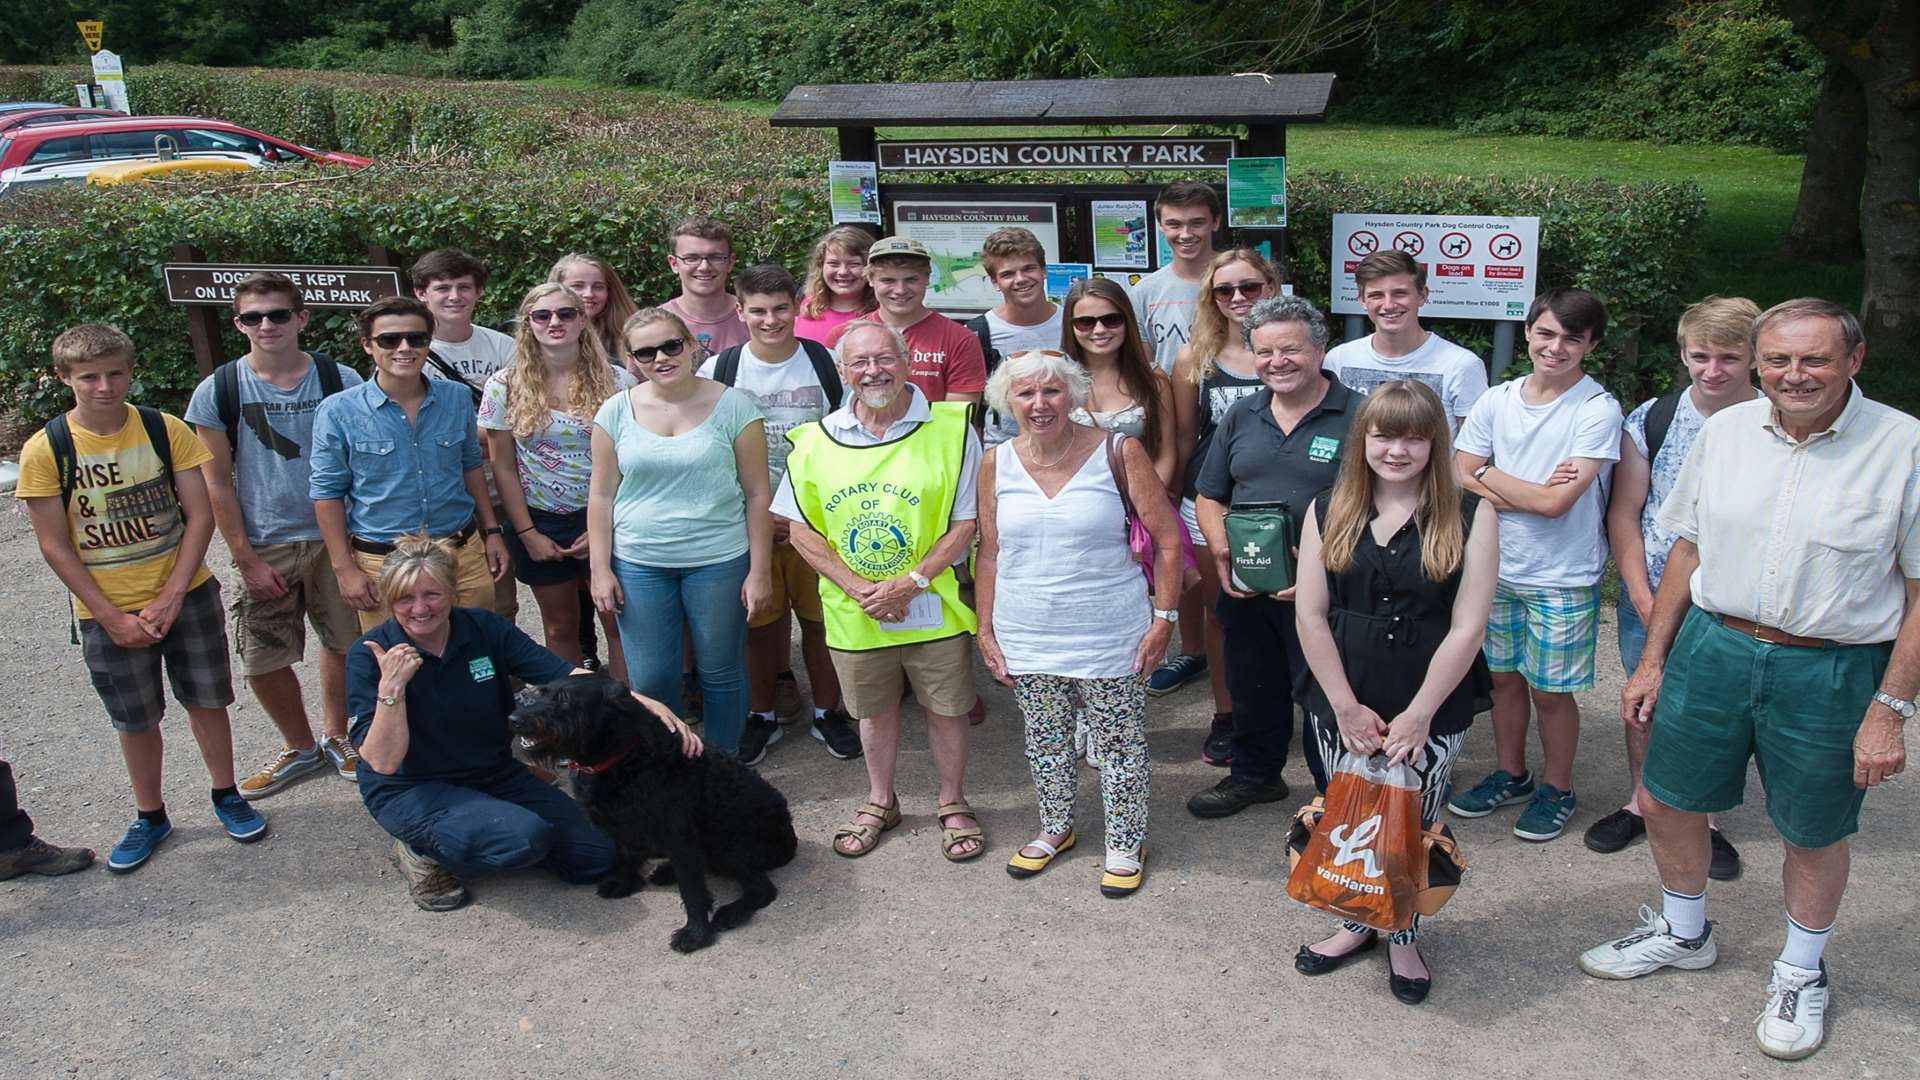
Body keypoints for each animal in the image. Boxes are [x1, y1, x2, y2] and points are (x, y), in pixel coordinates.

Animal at [506, 672, 798, 949]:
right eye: (541, 692)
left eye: (565, 699)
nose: (514, 719)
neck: (625, 758)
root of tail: (790, 842)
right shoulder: (620, 826)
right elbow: (626, 856)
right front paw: (623, 882)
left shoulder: (680, 838)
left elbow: (693, 891)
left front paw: (695, 933)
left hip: (728, 845)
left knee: (762, 889)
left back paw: (730, 913)